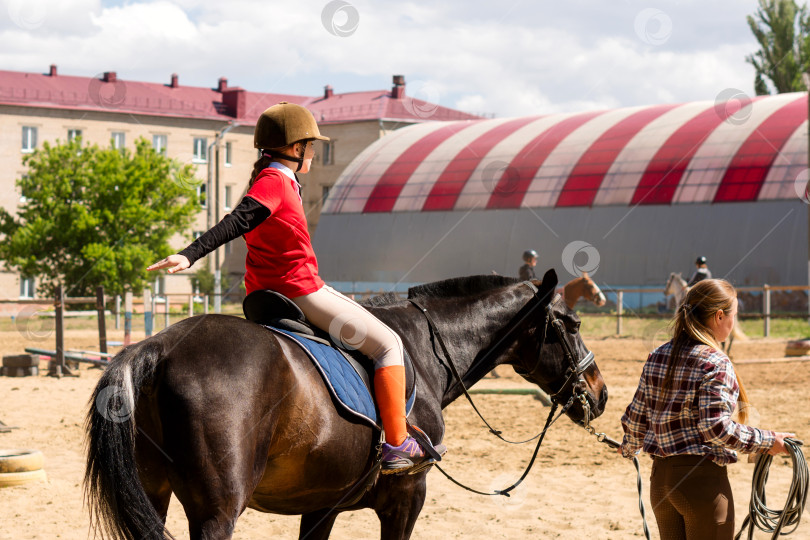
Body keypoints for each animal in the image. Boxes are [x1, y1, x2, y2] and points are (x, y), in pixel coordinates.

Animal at [85, 272, 608, 536]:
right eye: (574, 324)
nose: (600, 392)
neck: (425, 348)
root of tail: (158, 347)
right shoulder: (407, 498)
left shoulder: (322, 506)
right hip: (216, 514)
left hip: (154, 495)